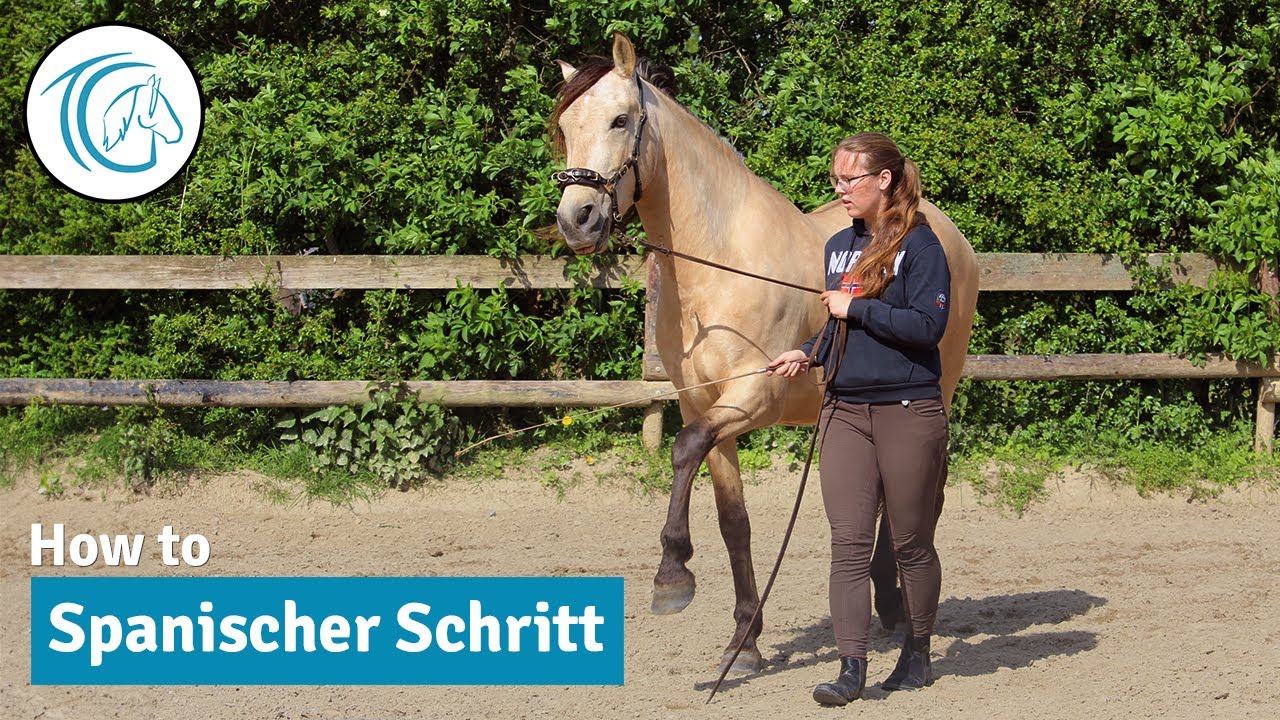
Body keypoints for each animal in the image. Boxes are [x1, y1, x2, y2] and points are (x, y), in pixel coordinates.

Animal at [551, 34, 978, 674]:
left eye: (621, 119)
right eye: (564, 126)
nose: (577, 219)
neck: (718, 265)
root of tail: (947, 232)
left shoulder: (755, 392)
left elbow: (682, 449)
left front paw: (671, 577)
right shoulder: (703, 404)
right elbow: (734, 521)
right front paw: (744, 641)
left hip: (938, 391)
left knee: (924, 492)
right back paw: (885, 600)